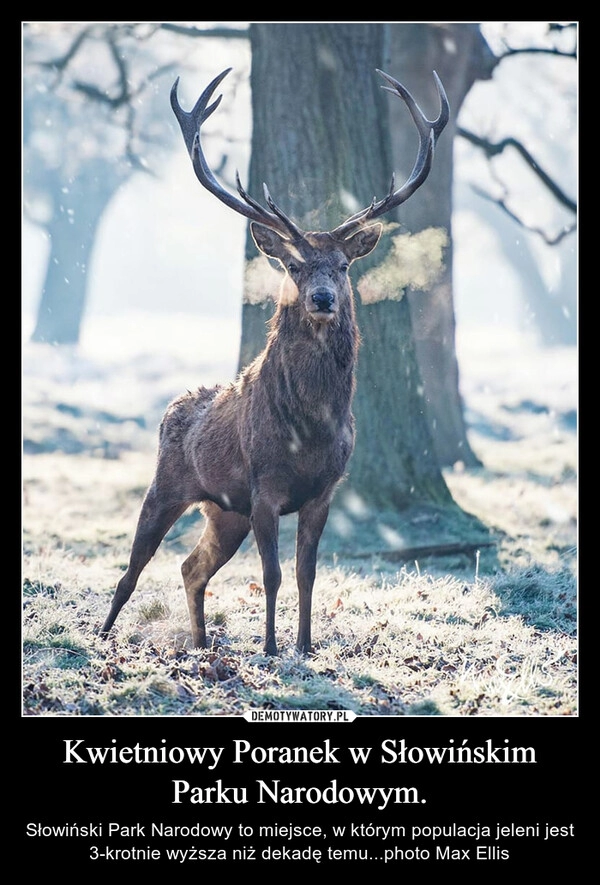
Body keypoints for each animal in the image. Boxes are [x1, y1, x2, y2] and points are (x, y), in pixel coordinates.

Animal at [99, 67, 446, 656]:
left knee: (192, 567)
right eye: (294, 265)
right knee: (132, 569)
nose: (322, 299)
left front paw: (304, 647)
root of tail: (172, 409)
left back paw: (201, 644)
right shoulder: (264, 488)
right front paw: (270, 648)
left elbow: (307, 573)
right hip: (168, 485)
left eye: (342, 266)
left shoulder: (323, 491)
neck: (309, 428)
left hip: (224, 510)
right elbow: (273, 573)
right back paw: (102, 637)